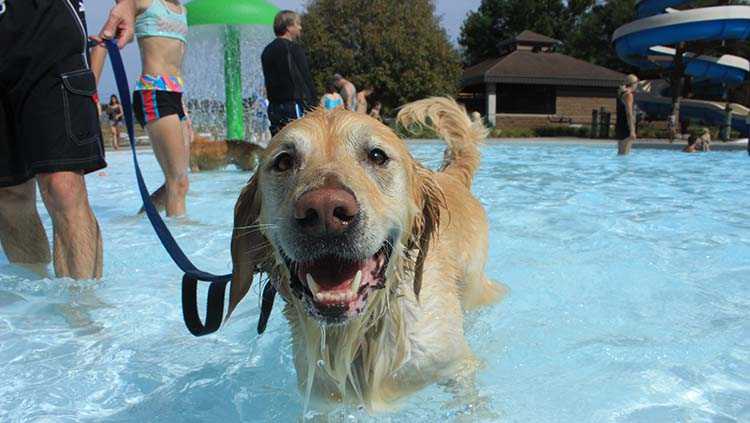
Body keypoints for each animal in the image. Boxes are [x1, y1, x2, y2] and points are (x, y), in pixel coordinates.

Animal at [229, 97, 508, 412]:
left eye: (377, 155)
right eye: (284, 161)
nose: (324, 211)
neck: (363, 334)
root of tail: (451, 176)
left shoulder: (456, 365)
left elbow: (470, 401)